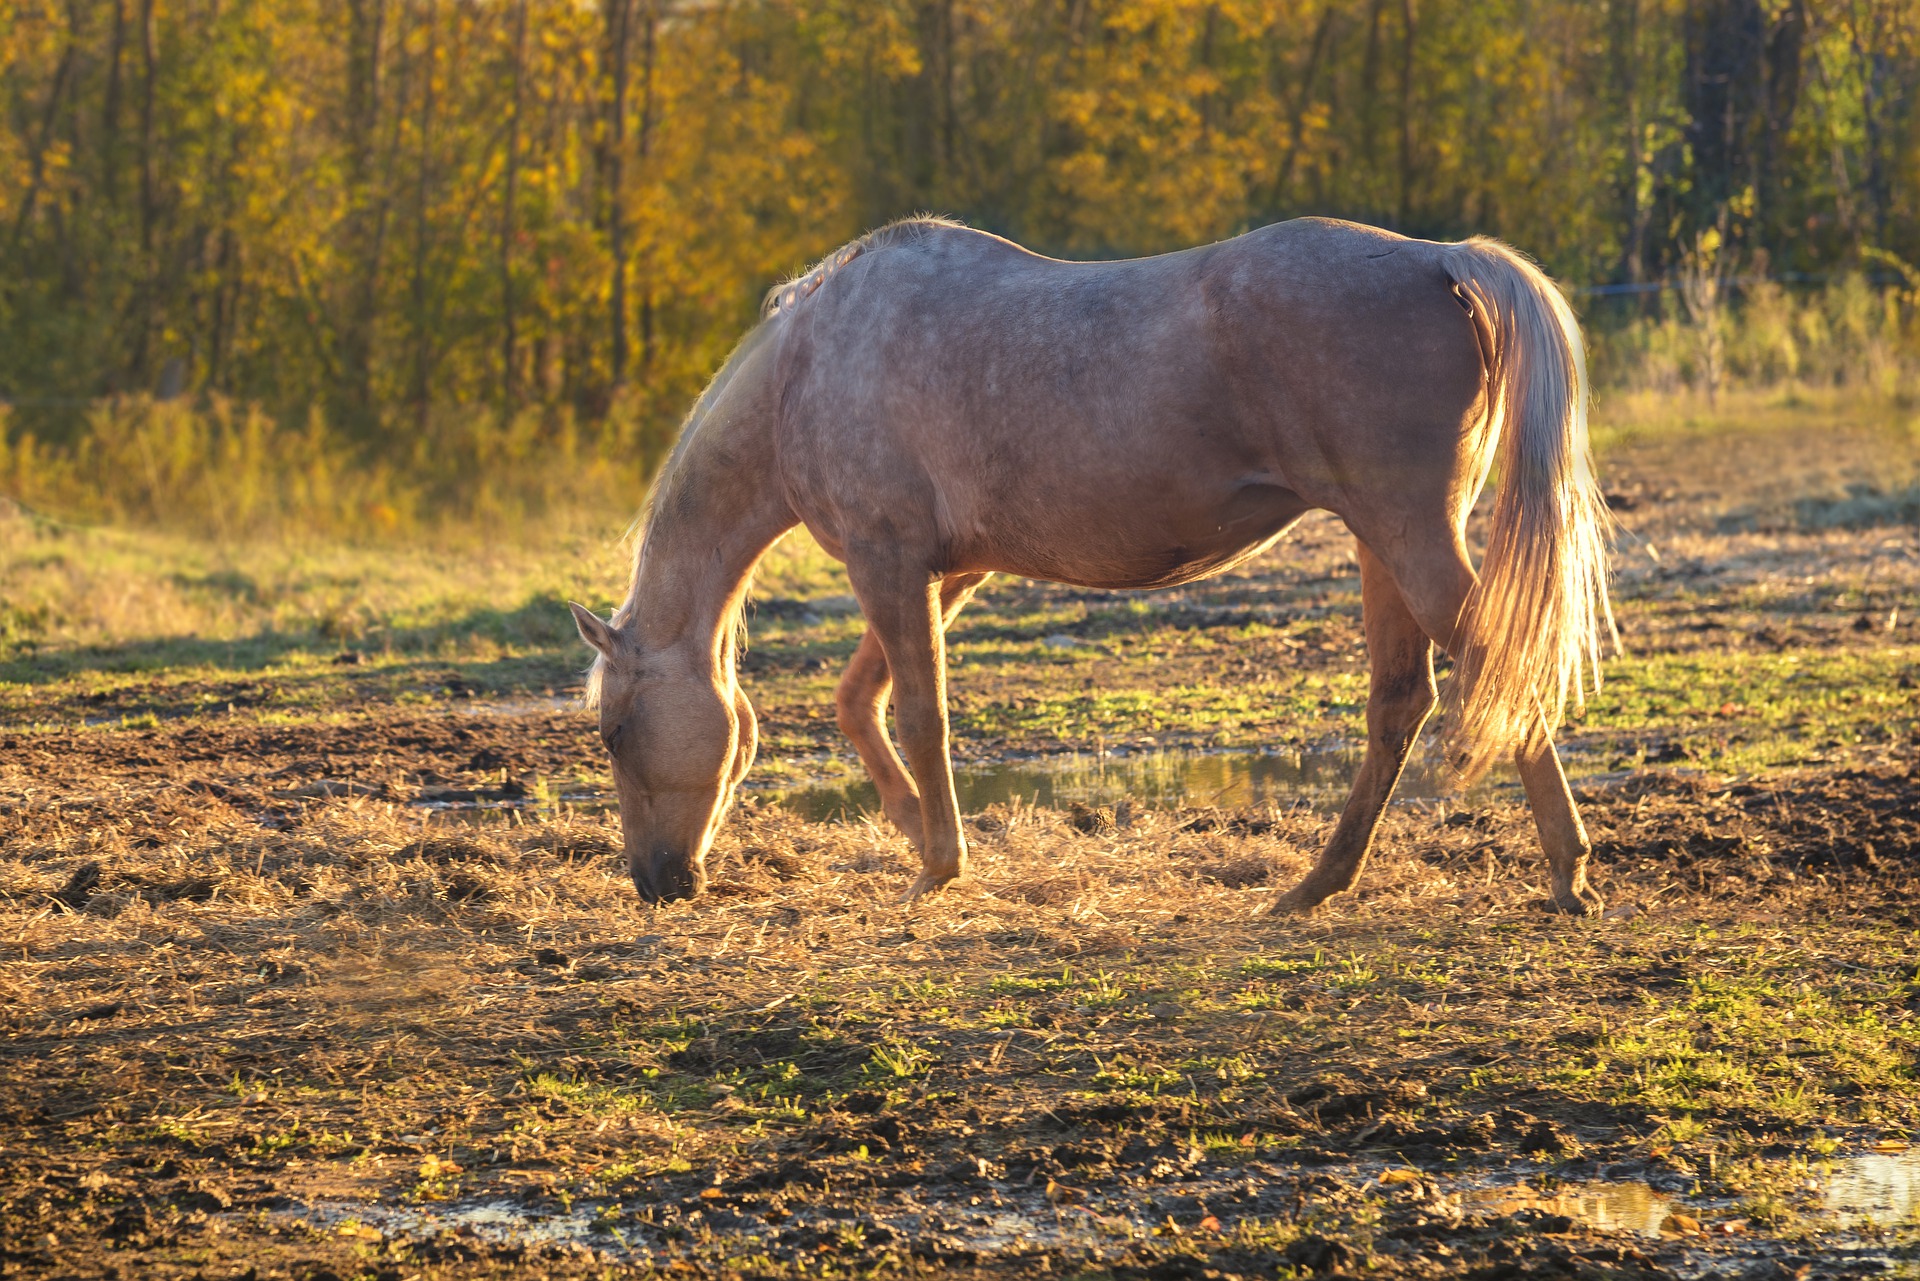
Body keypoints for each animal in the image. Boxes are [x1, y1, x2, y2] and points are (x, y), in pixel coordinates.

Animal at [569, 216, 1615, 914]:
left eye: (615, 734)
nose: (657, 882)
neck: (808, 365)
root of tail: (1437, 257)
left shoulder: (888, 561)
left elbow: (918, 713)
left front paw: (938, 864)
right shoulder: (948, 572)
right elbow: (860, 698)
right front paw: (911, 827)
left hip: (1408, 536)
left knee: (1495, 665)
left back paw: (1567, 873)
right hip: (1380, 545)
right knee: (1401, 702)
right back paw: (1315, 885)